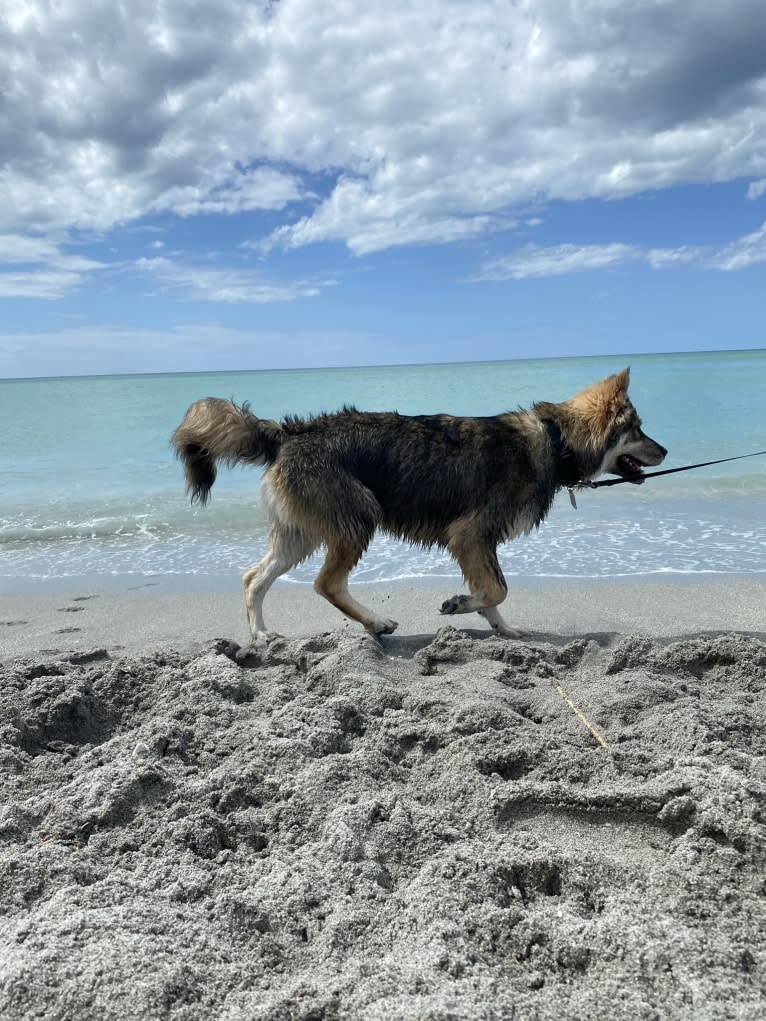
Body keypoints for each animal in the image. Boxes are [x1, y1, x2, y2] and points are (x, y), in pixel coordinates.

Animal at [172, 367, 665, 637]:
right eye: (638, 430)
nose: (665, 452)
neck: (554, 439)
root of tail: (288, 432)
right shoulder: (471, 535)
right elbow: (497, 589)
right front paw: (460, 605)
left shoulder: (478, 542)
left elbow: (494, 595)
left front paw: (503, 629)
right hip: (359, 517)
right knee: (326, 584)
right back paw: (375, 623)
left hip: (300, 535)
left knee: (253, 578)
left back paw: (261, 637)